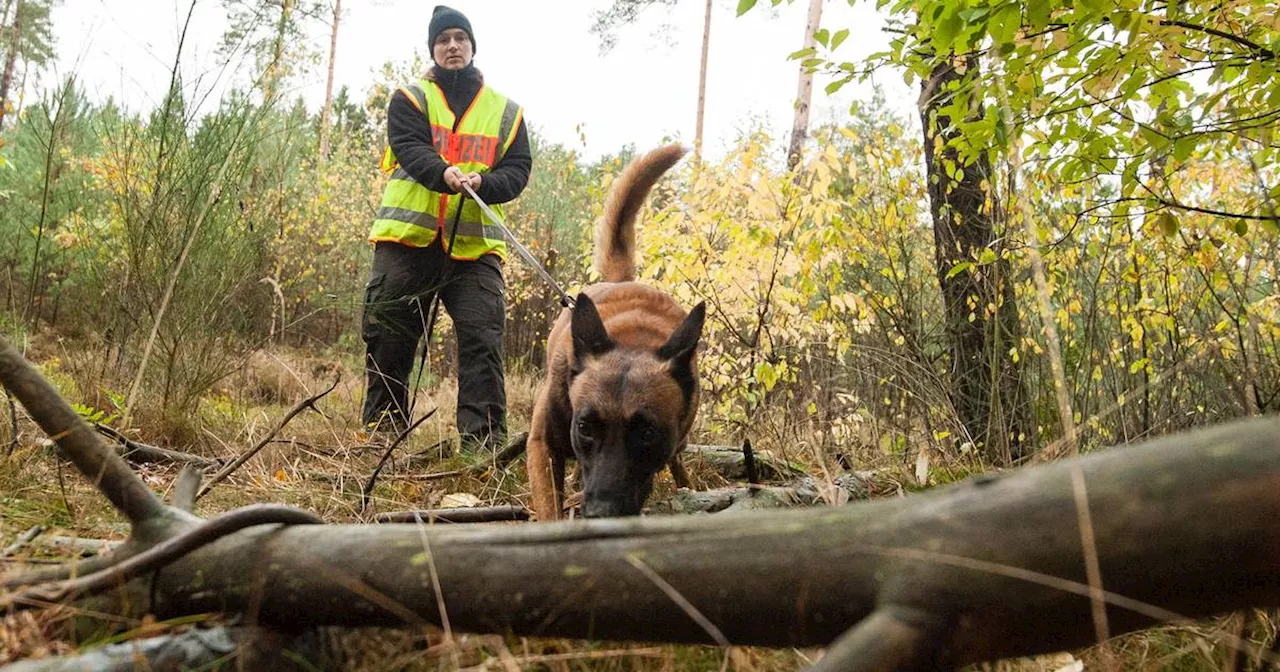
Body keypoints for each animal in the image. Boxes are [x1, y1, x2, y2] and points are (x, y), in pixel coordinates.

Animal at [529, 142, 711, 519]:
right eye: (585, 427)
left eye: (647, 433)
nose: (601, 513)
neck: (632, 338)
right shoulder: (544, 447)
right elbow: (550, 508)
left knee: (677, 459)